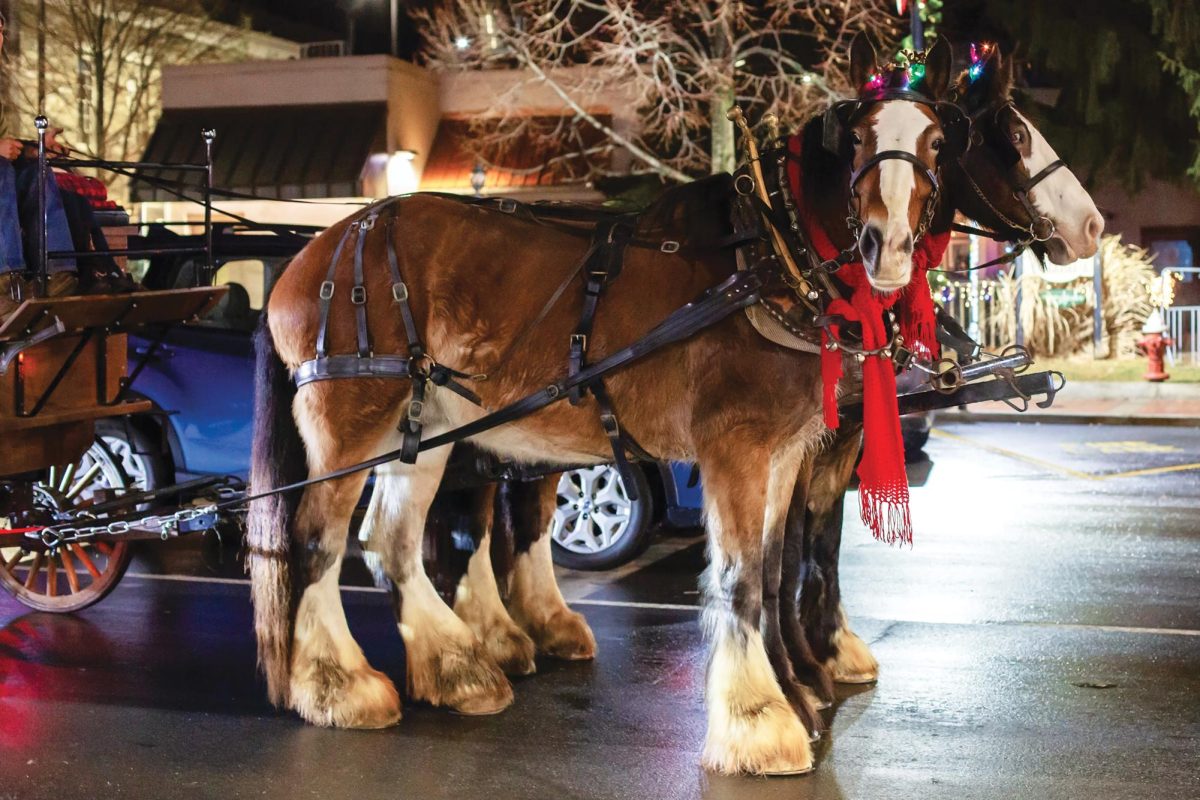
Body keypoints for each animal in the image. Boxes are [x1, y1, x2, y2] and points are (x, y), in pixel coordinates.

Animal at [246, 35, 955, 777]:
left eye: (937, 142)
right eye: (858, 138)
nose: (887, 246)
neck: (764, 261)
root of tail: (313, 254)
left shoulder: (786, 453)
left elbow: (771, 569)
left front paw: (794, 693)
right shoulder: (736, 448)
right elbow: (739, 578)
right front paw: (759, 723)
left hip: (424, 429)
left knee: (393, 540)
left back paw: (457, 669)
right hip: (350, 427)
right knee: (315, 539)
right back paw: (338, 686)